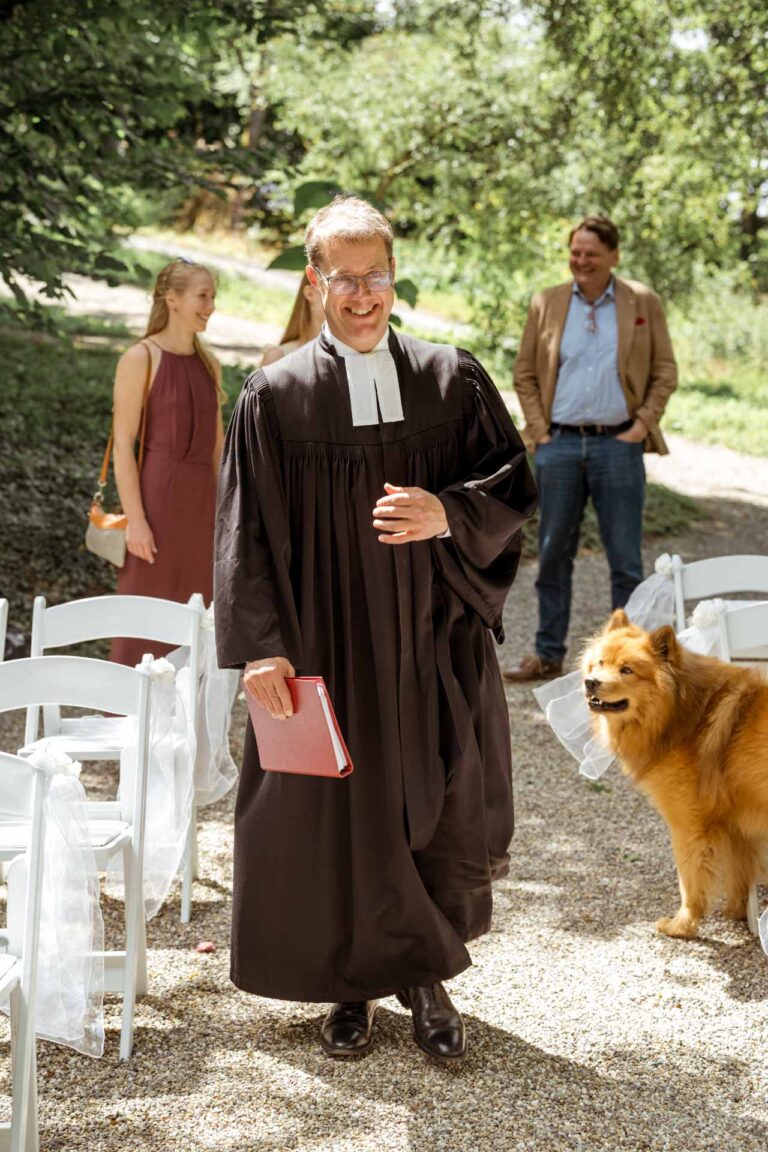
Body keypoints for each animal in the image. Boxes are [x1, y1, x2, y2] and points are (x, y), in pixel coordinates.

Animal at [582, 612, 768, 935]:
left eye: (627, 670)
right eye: (600, 663)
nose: (591, 682)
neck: (683, 712)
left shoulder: (688, 825)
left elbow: (690, 881)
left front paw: (682, 926)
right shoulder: (734, 824)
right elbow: (739, 873)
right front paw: (736, 913)